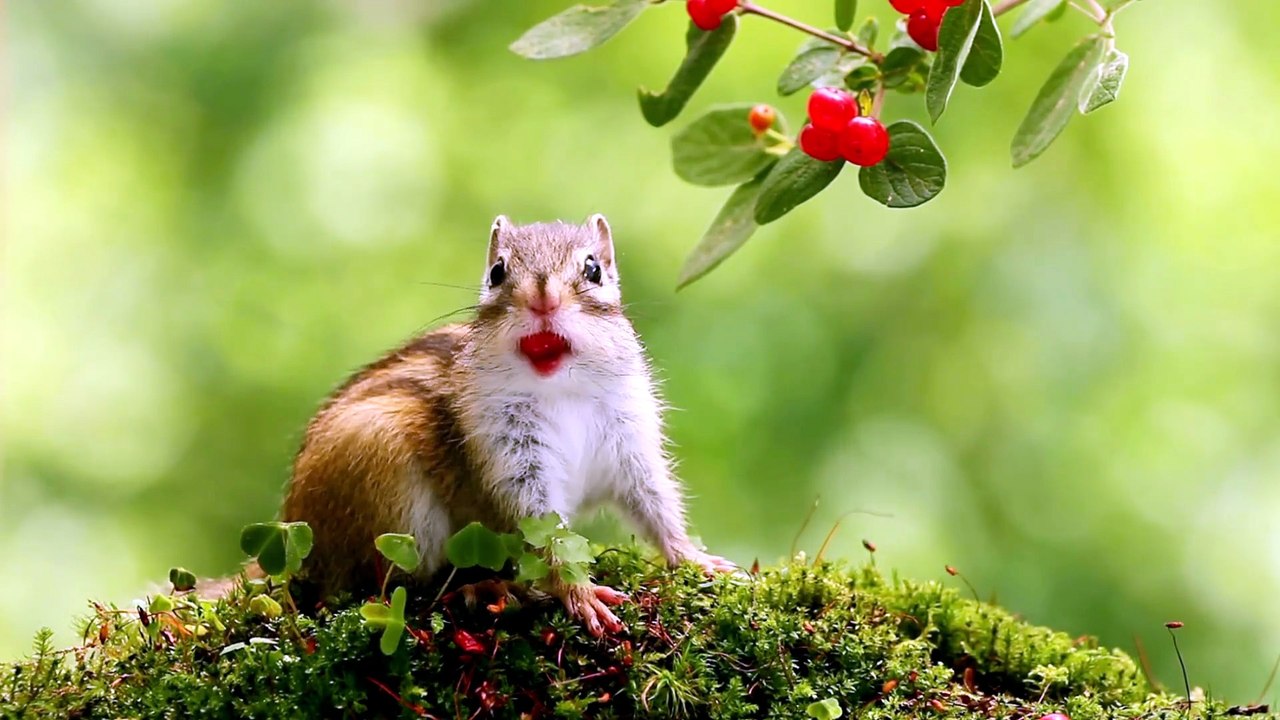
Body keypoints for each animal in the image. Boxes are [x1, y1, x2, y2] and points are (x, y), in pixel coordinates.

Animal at [236, 214, 733, 636]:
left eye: (593, 270)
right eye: (496, 272)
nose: (543, 299)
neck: (559, 390)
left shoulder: (629, 441)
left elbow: (654, 503)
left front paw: (695, 558)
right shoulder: (514, 459)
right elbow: (543, 532)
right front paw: (579, 592)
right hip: (385, 473)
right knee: (388, 585)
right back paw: (484, 586)